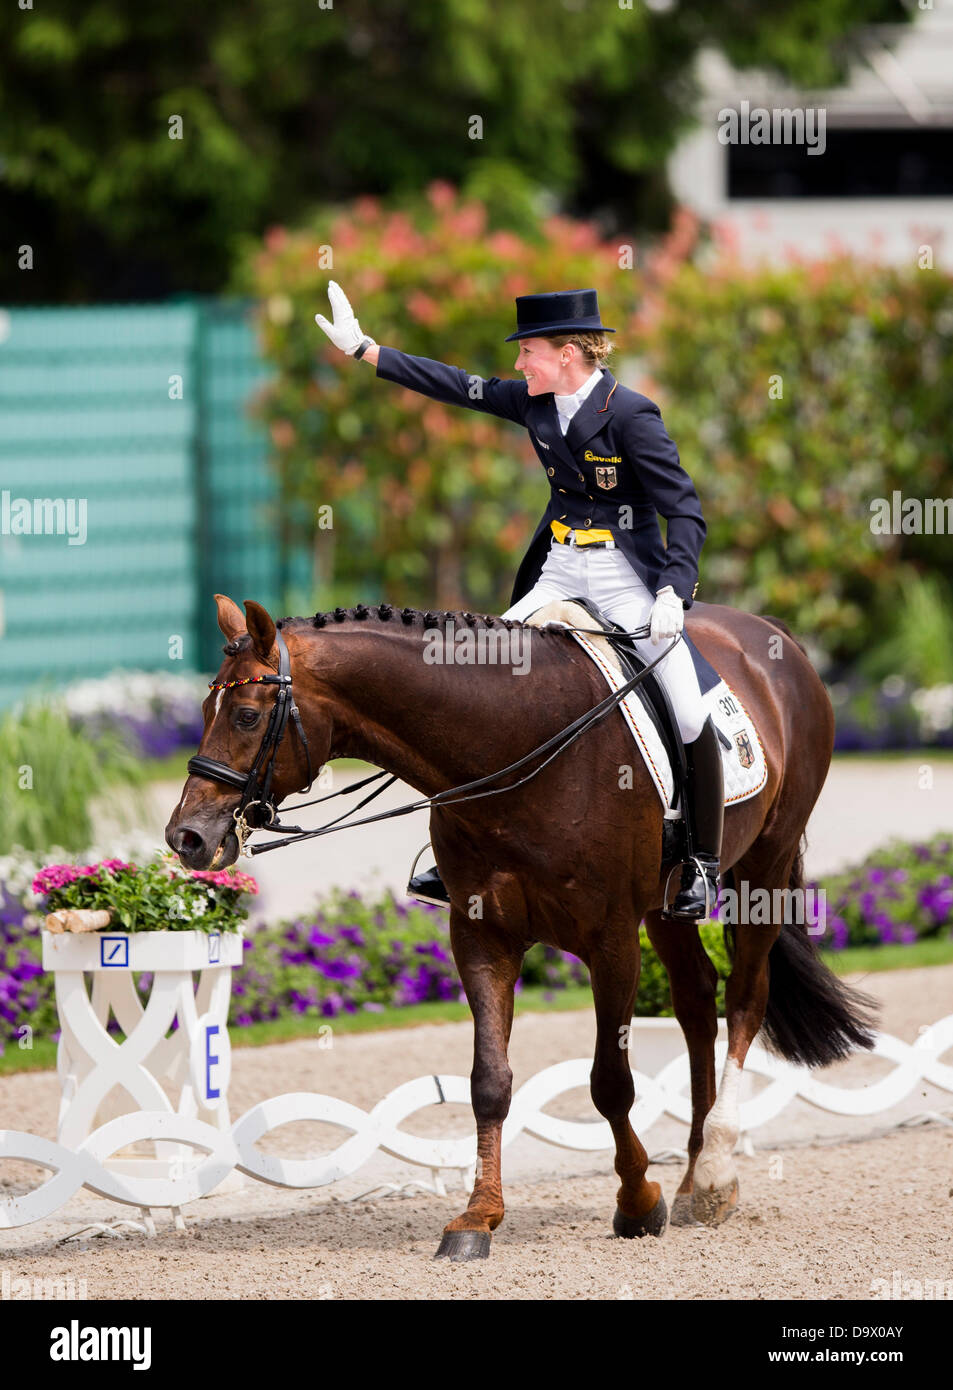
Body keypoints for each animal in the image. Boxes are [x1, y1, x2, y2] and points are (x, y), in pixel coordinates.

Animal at [166, 593, 876, 1260]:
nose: (187, 838)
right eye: (202, 711)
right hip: (668, 906)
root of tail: (770, 632)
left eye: (247, 715)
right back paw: (694, 1177)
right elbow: (489, 1081)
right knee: (698, 1002)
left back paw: (715, 1175)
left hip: (765, 868)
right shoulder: (482, 936)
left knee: (744, 998)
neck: (517, 746)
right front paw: (477, 1218)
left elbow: (609, 1083)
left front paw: (636, 1202)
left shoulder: (611, 940)